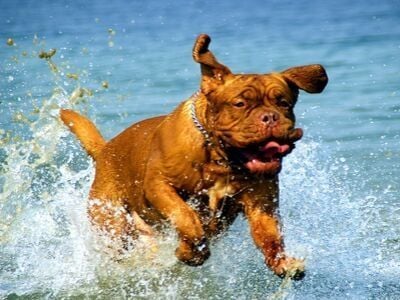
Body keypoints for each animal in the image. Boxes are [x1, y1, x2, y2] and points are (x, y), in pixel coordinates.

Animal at [60, 34, 328, 280]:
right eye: (240, 104)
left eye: (284, 103)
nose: (270, 117)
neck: (221, 159)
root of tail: (105, 150)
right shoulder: (160, 186)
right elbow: (186, 217)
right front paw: (190, 252)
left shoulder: (262, 203)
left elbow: (270, 235)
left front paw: (282, 262)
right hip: (113, 221)